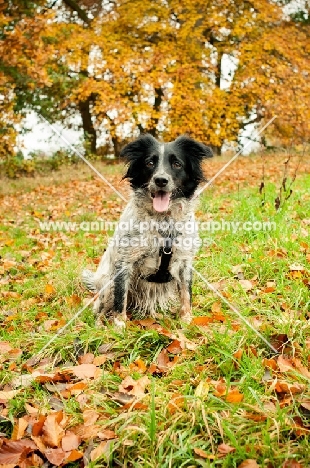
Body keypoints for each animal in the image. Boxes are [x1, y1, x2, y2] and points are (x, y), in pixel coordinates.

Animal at [81, 133, 213, 328]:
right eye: (150, 163)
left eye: (177, 164)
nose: (161, 180)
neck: (163, 221)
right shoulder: (124, 262)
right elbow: (120, 299)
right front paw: (119, 326)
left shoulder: (184, 261)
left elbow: (186, 294)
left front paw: (186, 320)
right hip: (106, 284)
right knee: (100, 308)